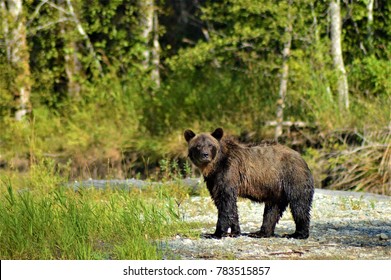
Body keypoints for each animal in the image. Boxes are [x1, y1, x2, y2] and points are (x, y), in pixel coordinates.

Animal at [184, 128, 316, 240]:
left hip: (293, 177)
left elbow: (225, 202)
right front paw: (235, 231)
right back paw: (261, 233)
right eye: (198, 146)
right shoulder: (214, 180)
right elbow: (227, 204)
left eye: (210, 145)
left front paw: (216, 233)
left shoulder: (228, 172)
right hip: (276, 188)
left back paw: (297, 234)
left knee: (299, 204)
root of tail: (301, 158)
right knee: (272, 209)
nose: (205, 155)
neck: (215, 165)